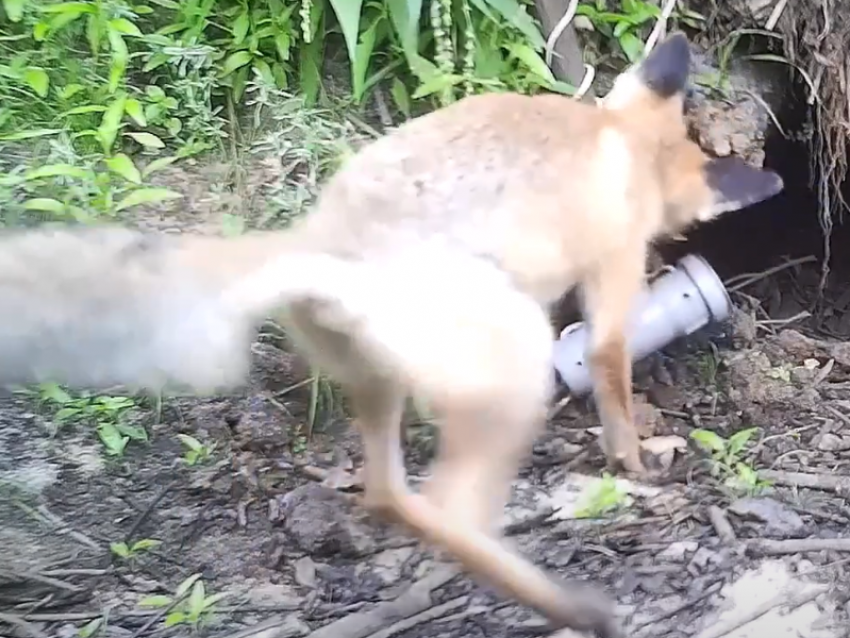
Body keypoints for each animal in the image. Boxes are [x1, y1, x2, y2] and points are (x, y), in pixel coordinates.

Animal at [0, 33, 780, 638]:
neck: (618, 144)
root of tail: (318, 242)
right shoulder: (612, 280)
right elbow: (612, 379)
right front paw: (636, 460)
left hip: (377, 381)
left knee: (384, 494)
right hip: (513, 357)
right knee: (448, 505)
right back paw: (568, 605)